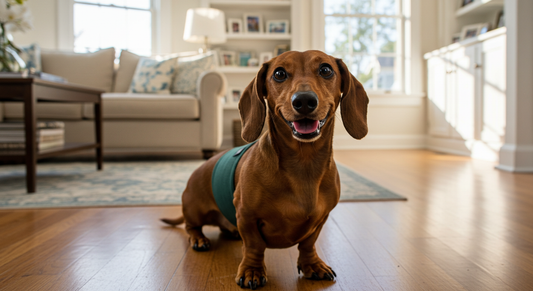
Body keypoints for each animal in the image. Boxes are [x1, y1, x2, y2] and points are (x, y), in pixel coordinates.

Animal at [162, 50, 368, 290]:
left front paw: (312, 265)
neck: (304, 164)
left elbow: (308, 244)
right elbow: (254, 246)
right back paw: (199, 239)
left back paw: (230, 231)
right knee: (191, 227)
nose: (304, 101)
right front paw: (252, 271)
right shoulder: (247, 216)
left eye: (326, 70)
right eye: (279, 74)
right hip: (195, 209)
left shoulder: (320, 219)